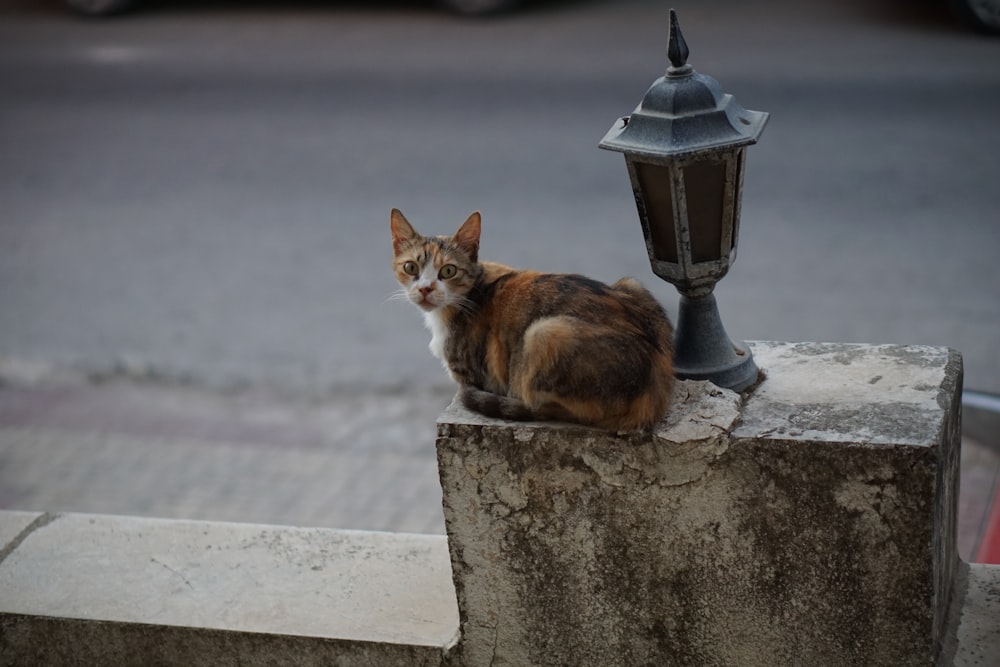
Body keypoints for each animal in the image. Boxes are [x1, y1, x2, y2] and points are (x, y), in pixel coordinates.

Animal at [386, 206, 676, 430]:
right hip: (631, 284)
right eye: (410, 267)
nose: (425, 288)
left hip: (544, 332)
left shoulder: (470, 376)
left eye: (448, 271)